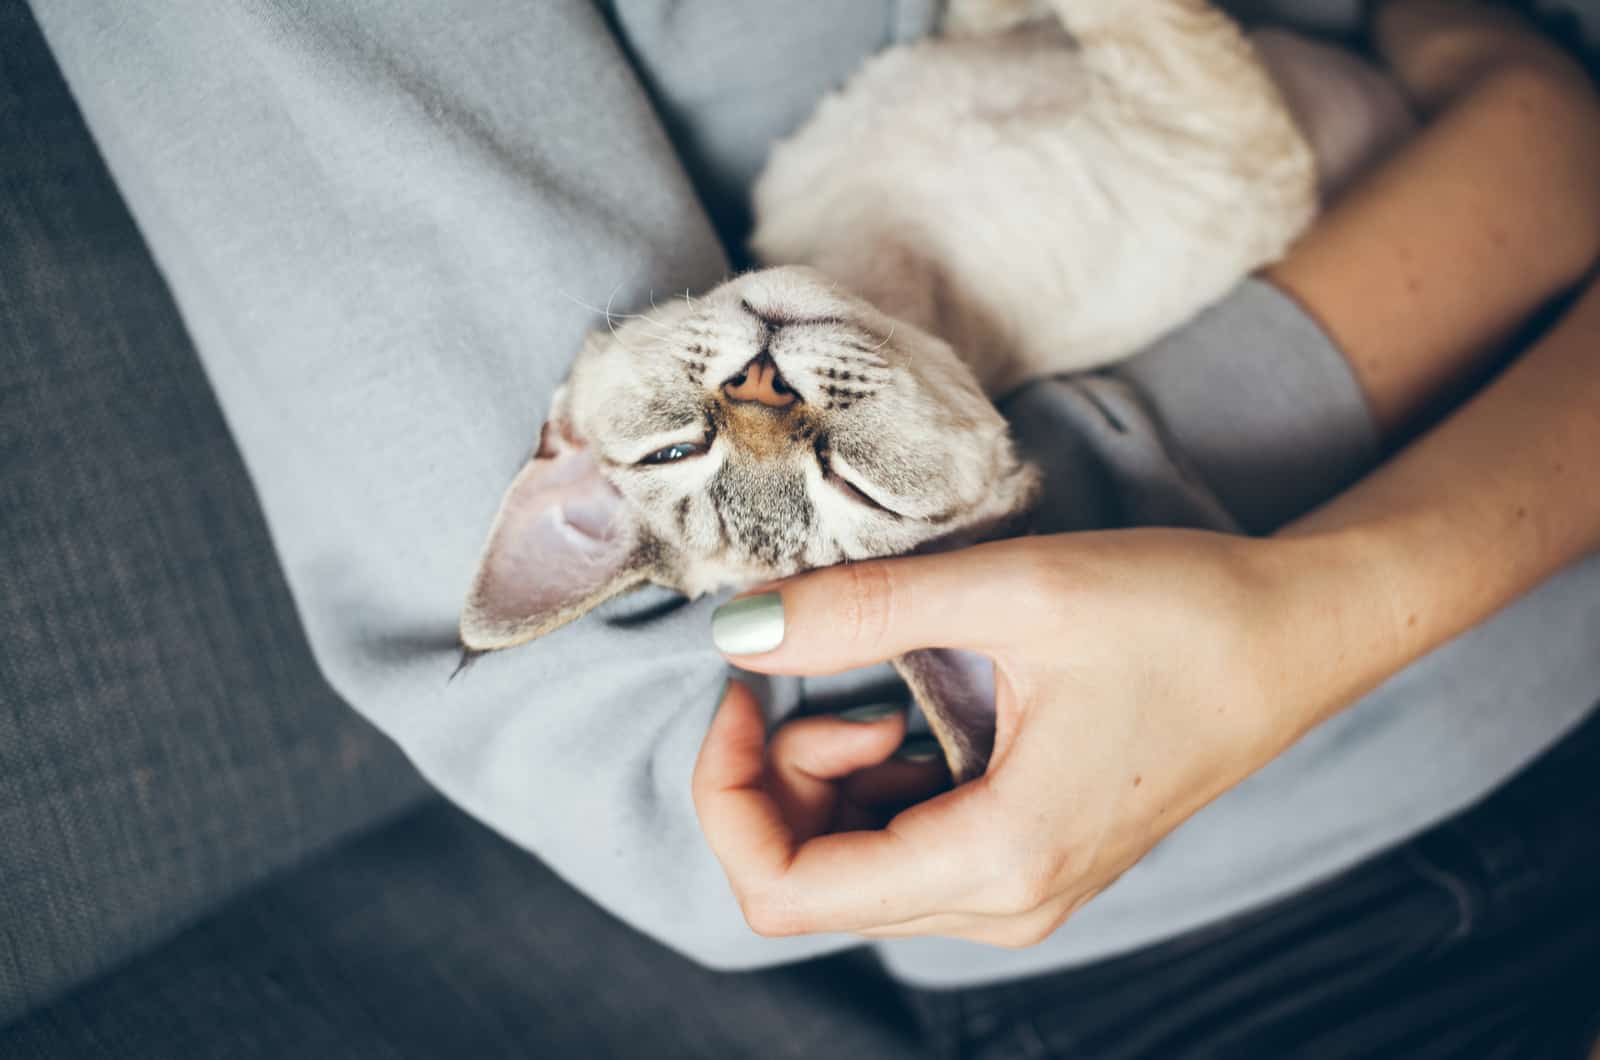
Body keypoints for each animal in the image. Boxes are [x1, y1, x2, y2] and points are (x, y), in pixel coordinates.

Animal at [460, 0, 1414, 781]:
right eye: (853, 483)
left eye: (675, 448)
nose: (761, 385)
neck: (875, 244)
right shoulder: (1220, 132)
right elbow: (1132, 19)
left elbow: (1020, 12)